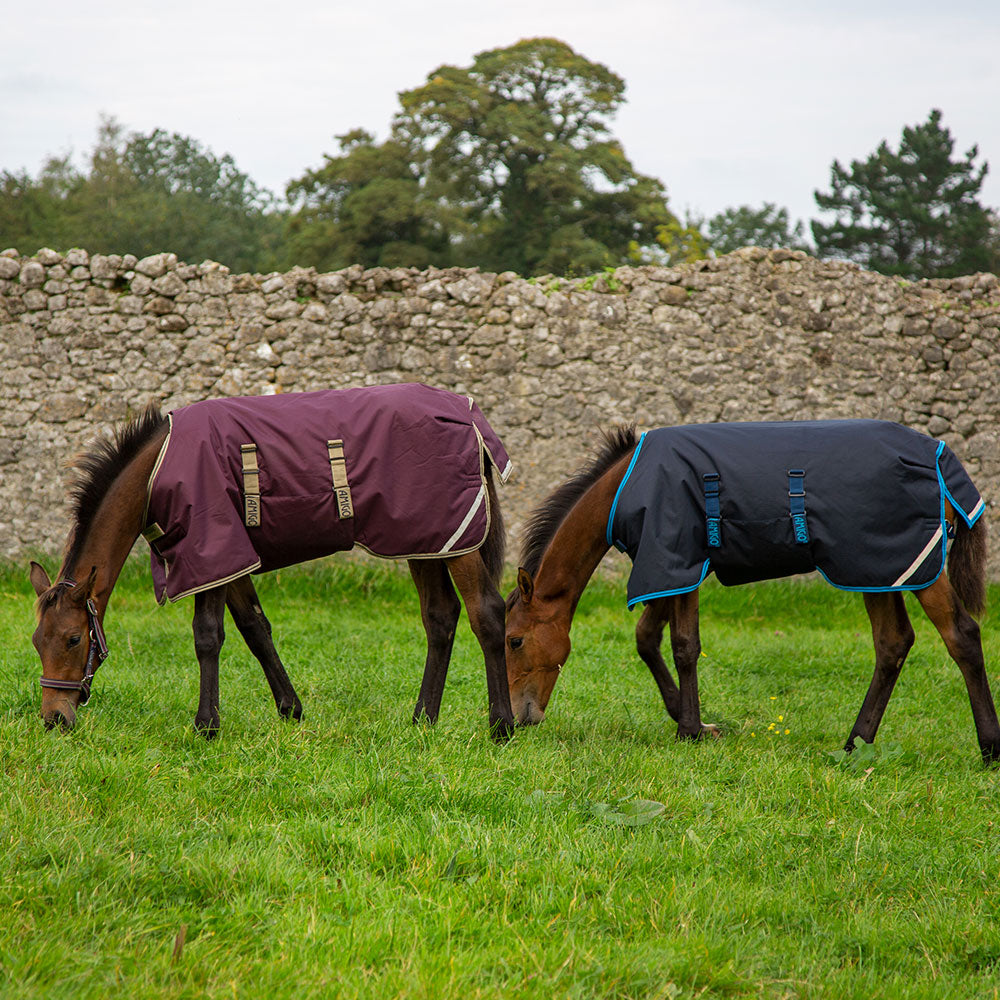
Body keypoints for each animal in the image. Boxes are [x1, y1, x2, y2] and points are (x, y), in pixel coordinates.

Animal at [31, 380, 516, 736]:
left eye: (73, 639)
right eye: (37, 641)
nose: (54, 718)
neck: (157, 469)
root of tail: (467, 414)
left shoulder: (210, 550)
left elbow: (208, 635)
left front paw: (206, 725)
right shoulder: (230, 560)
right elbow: (255, 628)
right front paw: (290, 709)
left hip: (457, 542)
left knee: (486, 613)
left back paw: (502, 726)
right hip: (429, 542)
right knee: (441, 617)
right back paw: (423, 720)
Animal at [508, 418, 1000, 760]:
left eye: (513, 640)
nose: (515, 721)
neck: (626, 485)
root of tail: (940, 458)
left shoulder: (679, 559)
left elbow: (683, 645)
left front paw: (690, 730)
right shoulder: (670, 568)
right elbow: (648, 638)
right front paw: (691, 721)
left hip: (912, 567)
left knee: (960, 636)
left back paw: (989, 747)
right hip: (878, 569)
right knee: (893, 643)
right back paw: (855, 745)